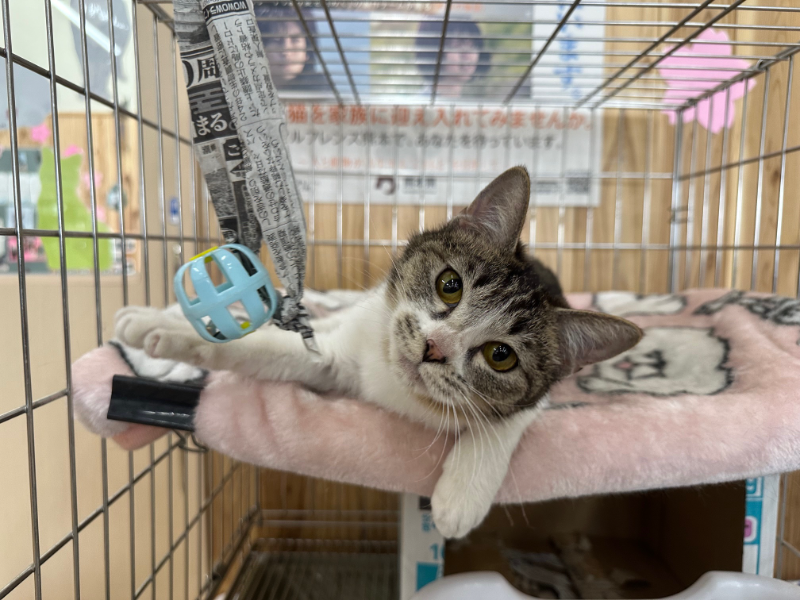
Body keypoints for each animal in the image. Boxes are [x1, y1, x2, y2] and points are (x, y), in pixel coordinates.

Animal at [114, 166, 643, 539]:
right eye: (449, 285)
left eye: (501, 356)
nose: (434, 348)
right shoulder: (339, 348)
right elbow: (269, 346)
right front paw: (160, 329)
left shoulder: (545, 390)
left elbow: (508, 421)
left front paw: (461, 496)